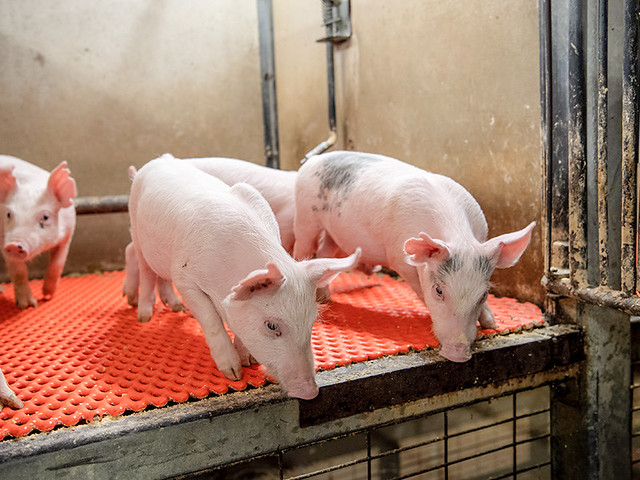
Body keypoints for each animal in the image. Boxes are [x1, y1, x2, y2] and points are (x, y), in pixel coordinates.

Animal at [0, 156, 77, 308]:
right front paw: (28, 306)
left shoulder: (69, 231)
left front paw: (47, 295)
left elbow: (57, 264)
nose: (14, 244)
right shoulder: (3, 238)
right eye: (9, 214)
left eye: (45, 217)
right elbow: (18, 272)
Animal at [128, 155, 361, 399]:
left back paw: (177, 308)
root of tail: (161, 158)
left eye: (312, 320)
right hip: (136, 230)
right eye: (271, 326)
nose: (311, 392)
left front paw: (248, 361)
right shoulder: (184, 277)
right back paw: (143, 316)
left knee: (160, 277)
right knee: (146, 272)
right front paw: (234, 374)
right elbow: (211, 319)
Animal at [293, 151, 535, 363]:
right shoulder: (400, 259)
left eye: (484, 294)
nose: (457, 354)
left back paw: (326, 299)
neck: (458, 234)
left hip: (333, 234)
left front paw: (491, 325)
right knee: (302, 250)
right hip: (306, 216)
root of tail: (315, 159)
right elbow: (419, 289)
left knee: (324, 251)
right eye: (438, 290)